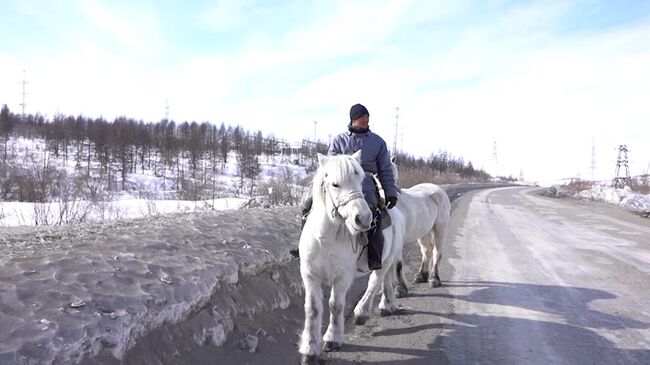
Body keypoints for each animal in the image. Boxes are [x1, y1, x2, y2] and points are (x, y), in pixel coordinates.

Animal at [298, 151, 404, 364]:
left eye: (361, 179)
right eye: (335, 184)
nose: (363, 218)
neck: (325, 238)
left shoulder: (342, 278)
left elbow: (336, 305)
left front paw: (332, 339)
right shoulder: (310, 276)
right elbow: (312, 309)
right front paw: (309, 350)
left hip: (385, 260)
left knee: (375, 281)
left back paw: (362, 312)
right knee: (385, 280)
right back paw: (386, 305)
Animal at [384, 158, 450, 294]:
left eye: (395, 175)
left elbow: (397, 264)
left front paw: (399, 288)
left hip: (439, 229)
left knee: (436, 252)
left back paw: (434, 279)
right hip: (424, 232)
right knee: (426, 251)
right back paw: (421, 276)